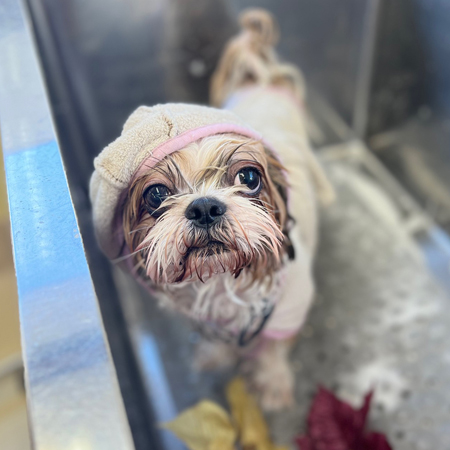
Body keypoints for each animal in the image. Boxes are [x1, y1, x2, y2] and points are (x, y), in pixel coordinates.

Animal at [90, 8, 333, 411]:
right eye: (156, 195)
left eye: (249, 177)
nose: (204, 207)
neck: (222, 282)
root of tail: (262, 80)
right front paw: (214, 356)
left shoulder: (290, 307)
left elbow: (273, 350)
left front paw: (272, 383)